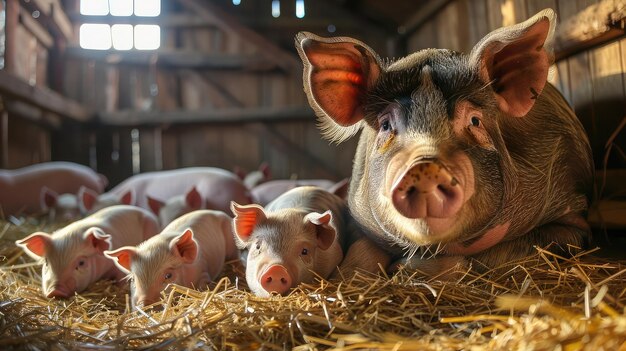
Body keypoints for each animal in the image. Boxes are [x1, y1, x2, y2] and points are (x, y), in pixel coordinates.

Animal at [294, 8, 592, 278]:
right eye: (386, 125)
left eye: (474, 120)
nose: (425, 166)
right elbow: (360, 252)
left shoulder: (574, 213)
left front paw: (403, 268)